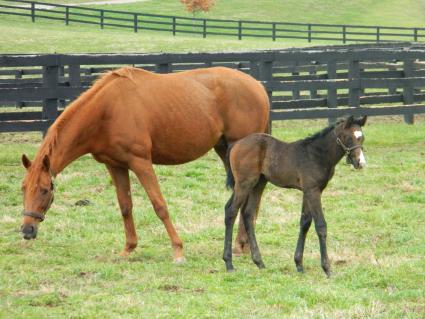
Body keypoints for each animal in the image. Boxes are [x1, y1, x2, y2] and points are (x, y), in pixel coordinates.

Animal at [19, 67, 268, 262]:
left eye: (44, 190)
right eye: (23, 189)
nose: (27, 230)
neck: (106, 111)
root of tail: (257, 86)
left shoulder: (140, 162)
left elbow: (160, 206)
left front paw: (178, 250)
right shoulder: (115, 166)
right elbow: (125, 206)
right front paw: (128, 248)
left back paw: (240, 246)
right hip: (225, 150)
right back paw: (242, 245)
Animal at [224, 116, 366, 276]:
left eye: (362, 138)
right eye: (348, 138)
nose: (360, 162)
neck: (317, 154)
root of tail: (236, 145)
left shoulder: (309, 191)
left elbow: (305, 223)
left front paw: (299, 264)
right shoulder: (313, 191)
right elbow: (321, 225)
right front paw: (327, 268)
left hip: (258, 184)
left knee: (248, 213)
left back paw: (259, 262)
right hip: (244, 183)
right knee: (231, 211)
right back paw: (229, 263)